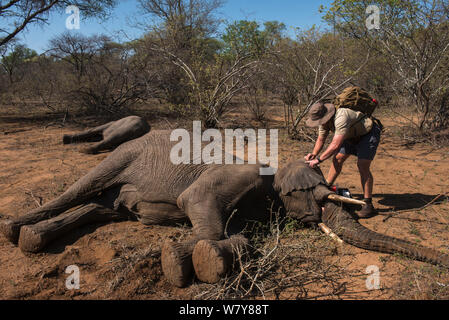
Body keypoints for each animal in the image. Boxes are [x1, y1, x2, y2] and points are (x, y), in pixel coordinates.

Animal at [0, 130, 448, 288]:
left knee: (99, 208)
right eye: (315, 196)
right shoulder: (234, 178)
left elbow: (243, 237)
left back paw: (33, 238)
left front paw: (201, 258)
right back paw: (15, 229)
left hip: (120, 198)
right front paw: (185, 262)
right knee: (81, 190)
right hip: (123, 153)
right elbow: (195, 205)